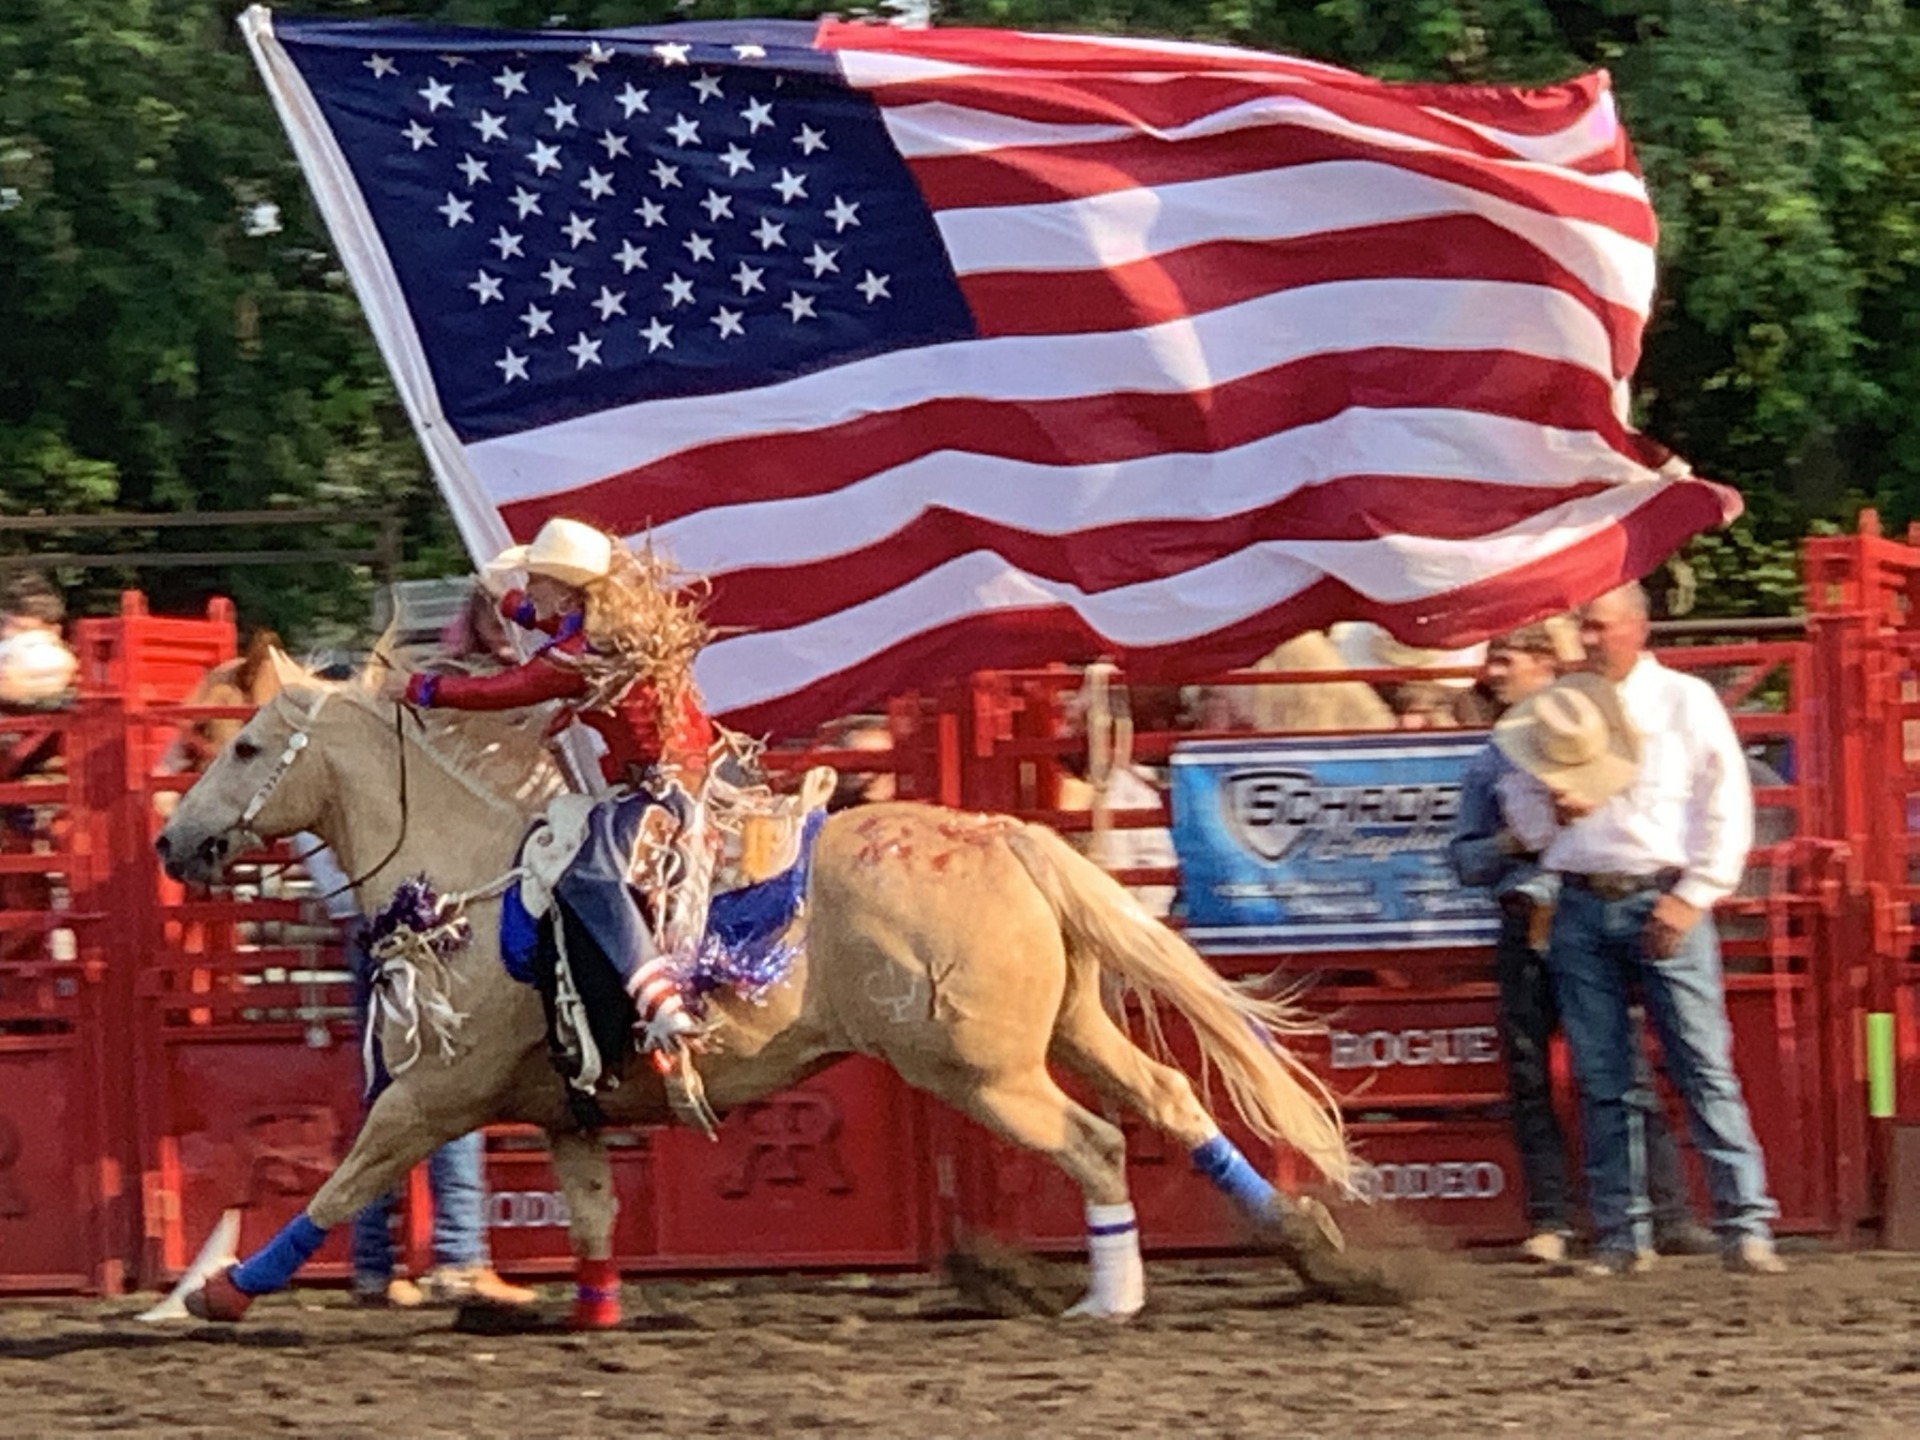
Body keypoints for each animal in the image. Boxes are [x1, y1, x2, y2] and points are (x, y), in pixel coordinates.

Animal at [142, 664, 1359, 1328]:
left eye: (245, 744)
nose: (173, 841)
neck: (476, 875)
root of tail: (1000, 835)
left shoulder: (434, 1094)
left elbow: (340, 1185)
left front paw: (219, 1291)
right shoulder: (559, 1109)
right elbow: (593, 1208)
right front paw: (592, 1310)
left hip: (985, 1071)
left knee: (1099, 1144)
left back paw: (1113, 1295)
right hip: (1069, 1028)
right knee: (1172, 1101)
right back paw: (1311, 1244)